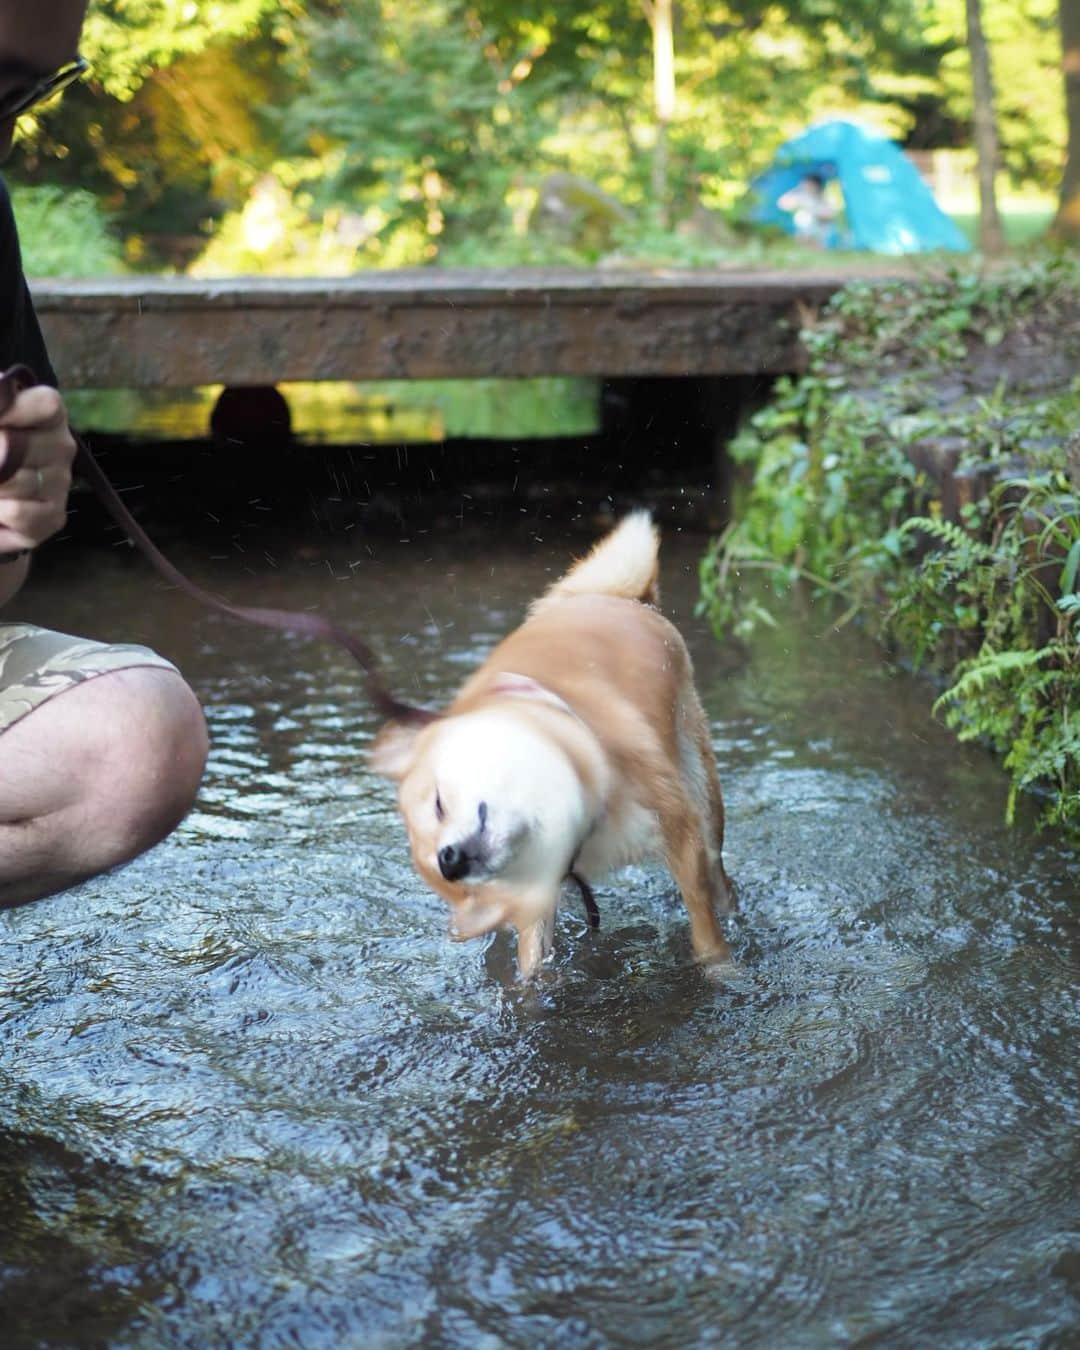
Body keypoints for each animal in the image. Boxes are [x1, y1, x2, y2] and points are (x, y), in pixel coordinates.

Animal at [372, 510, 734, 977]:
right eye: (471, 888)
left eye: (438, 804)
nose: (448, 860)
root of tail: (614, 596)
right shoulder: (544, 891)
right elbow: (532, 960)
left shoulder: (681, 833)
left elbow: (705, 931)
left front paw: (721, 970)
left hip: (704, 800)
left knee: (720, 878)